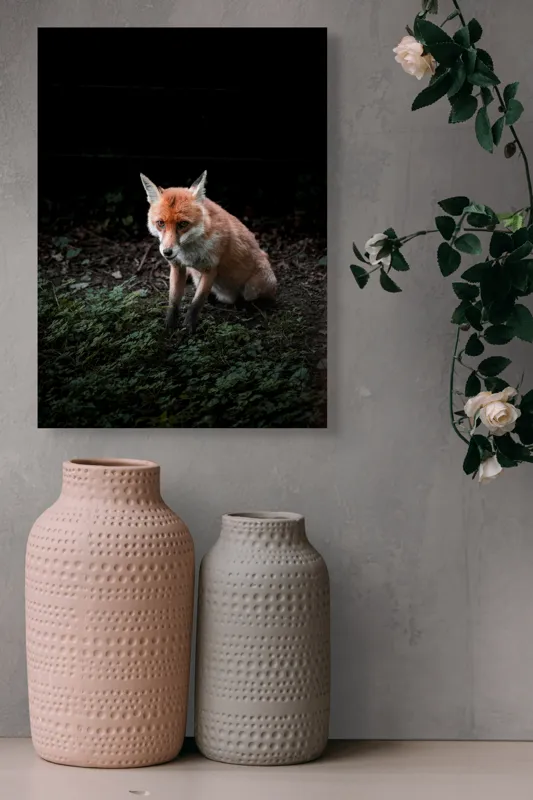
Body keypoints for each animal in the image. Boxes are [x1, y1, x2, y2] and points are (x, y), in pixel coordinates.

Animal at [140, 171, 277, 333]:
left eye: (183, 224)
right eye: (160, 223)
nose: (167, 252)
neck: (189, 253)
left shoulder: (210, 268)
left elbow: (197, 302)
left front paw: (189, 327)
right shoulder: (177, 266)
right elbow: (173, 300)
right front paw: (170, 325)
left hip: (254, 287)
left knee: (255, 298)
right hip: (198, 277)